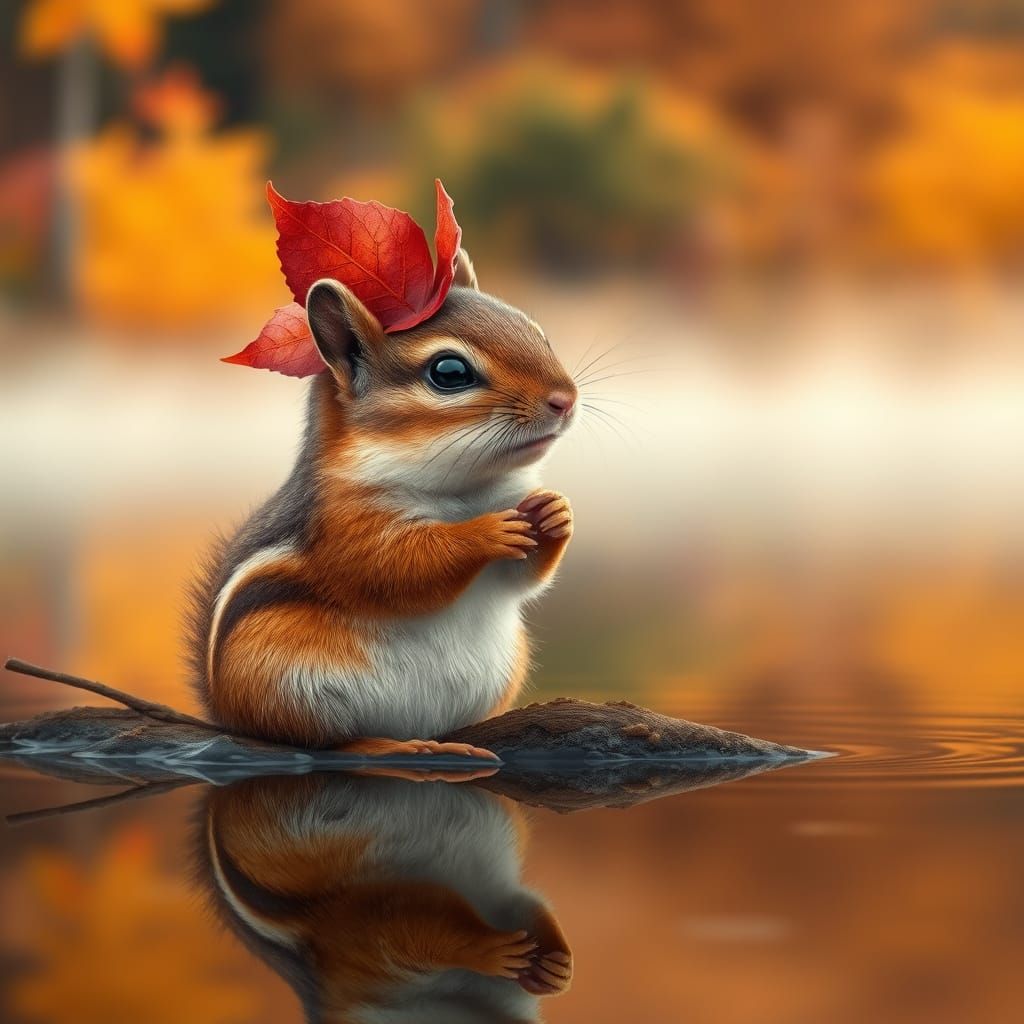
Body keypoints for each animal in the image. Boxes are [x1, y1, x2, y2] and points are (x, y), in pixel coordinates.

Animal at [187, 249, 577, 757]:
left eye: (538, 333)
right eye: (449, 372)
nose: (566, 399)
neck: (467, 491)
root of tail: (226, 713)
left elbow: (521, 579)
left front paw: (555, 512)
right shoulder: (344, 524)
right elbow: (395, 568)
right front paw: (485, 532)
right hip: (280, 678)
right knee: (324, 742)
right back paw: (392, 747)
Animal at [196, 773, 572, 1022]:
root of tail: (324, 919)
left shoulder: (506, 899)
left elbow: (532, 909)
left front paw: (558, 970)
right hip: (388, 924)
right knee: (432, 927)